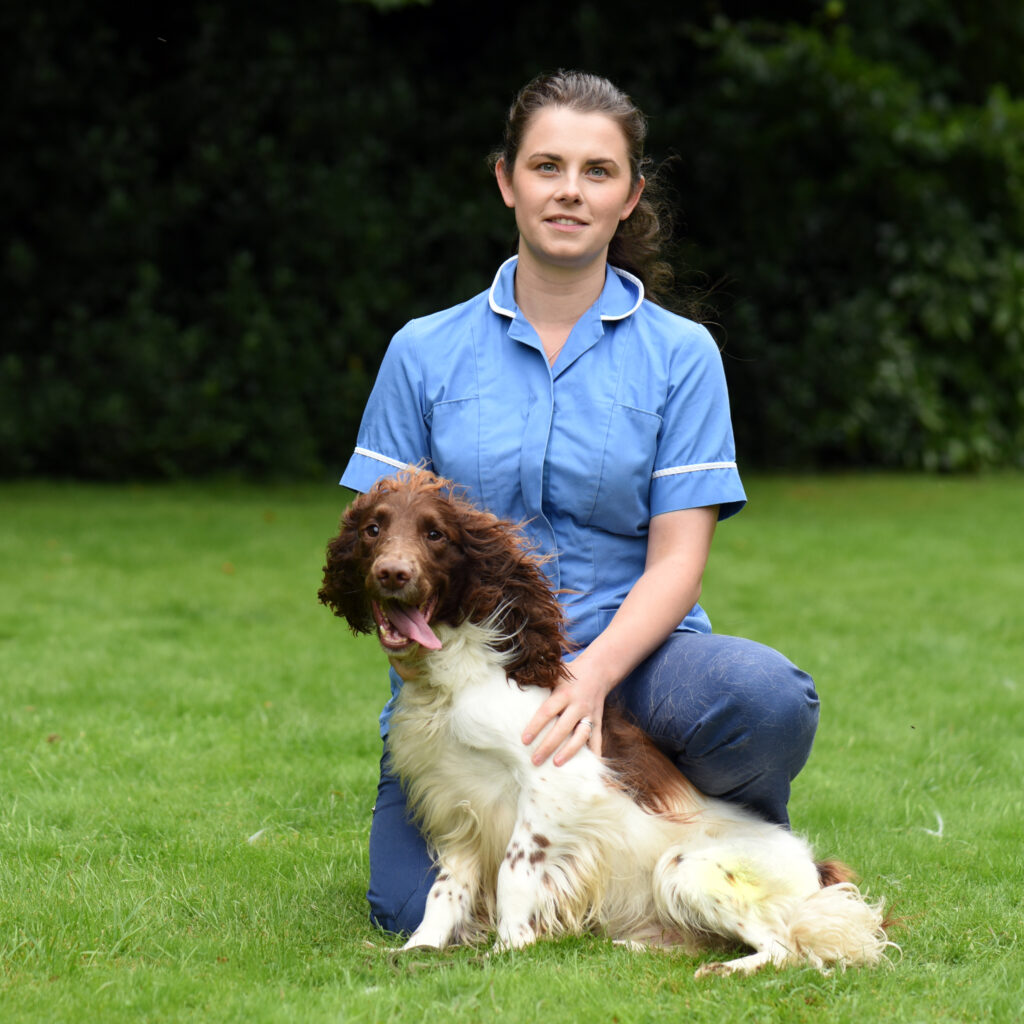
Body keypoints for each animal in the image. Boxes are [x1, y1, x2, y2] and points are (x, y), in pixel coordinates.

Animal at [319, 468, 890, 976]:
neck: (453, 681)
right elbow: (445, 891)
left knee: (785, 946)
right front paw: (419, 949)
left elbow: (513, 873)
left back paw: (725, 970)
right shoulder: (457, 808)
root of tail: (817, 871)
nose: (393, 572)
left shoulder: (555, 782)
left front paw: (508, 950)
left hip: (684, 868)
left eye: (435, 534)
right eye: (373, 529)